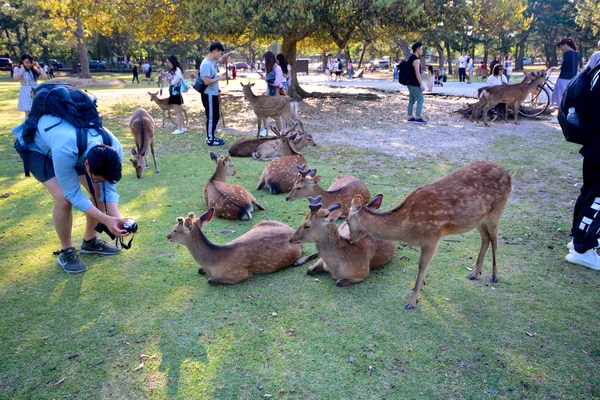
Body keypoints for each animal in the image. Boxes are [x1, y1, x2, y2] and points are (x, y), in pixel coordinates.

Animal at [166, 209, 302, 284]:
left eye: (175, 230)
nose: (167, 236)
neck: (212, 264)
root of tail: (293, 233)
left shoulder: (238, 274)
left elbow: (210, 280)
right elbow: (199, 270)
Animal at [346, 159, 510, 310]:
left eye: (347, 221)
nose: (349, 240)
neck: (408, 227)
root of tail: (508, 174)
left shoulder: (433, 236)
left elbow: (422, 265)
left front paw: (412, 301)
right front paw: (418, 287)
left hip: (497, 210)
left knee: (494, 239)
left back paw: (494, 276)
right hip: (477, 219)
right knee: (485, 237)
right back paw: (474, 274)